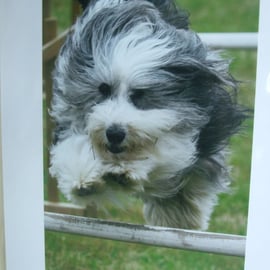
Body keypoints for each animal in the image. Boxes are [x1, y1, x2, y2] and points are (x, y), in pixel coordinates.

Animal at [49, 0, 247, 230]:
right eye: (103, 89)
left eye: (140, 95)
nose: (114, 133)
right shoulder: (68, 115)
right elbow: (74, 147)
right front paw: (85, 179)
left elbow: (168, 150)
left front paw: (127, 170)